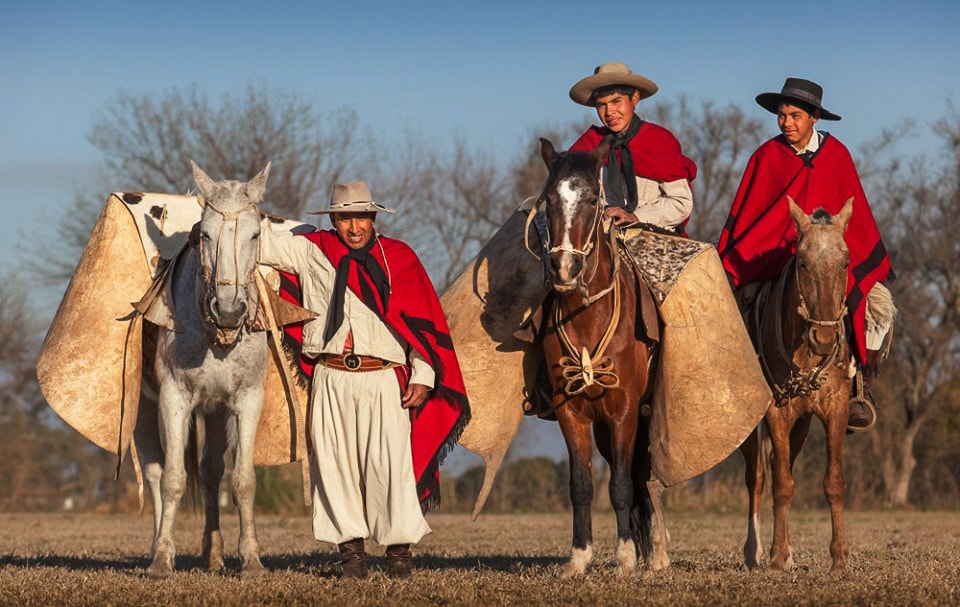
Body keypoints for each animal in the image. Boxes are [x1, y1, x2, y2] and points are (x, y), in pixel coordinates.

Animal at [134, 162, 270, 580]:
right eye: (204, 234)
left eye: (255, 233)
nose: (228, 310)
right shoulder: (174, 399)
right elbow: (173, 479)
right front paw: (162, 560)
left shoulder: (246, 400)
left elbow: (243, 481)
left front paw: (251, 560)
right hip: (145, 409)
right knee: (155, 472)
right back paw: (157, 548)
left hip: (214, 410)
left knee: (211, 471)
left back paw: (214, 553)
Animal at [532, 139, 668, 580]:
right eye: (548, 201)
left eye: (593, 199)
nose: (564, 267)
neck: (587, 318)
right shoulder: (571, 413)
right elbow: (582, 484)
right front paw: (579, 557)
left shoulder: (624, 411)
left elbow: (621, 486)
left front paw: (624, 558)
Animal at [740, 197, 852, 572]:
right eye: (802, 262)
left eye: (845, 262)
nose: (825, 337)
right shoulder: (776, 412)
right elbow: (781, 485)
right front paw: (775, 556)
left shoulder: (836, 409)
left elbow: (833, 482)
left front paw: (839, 556)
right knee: (758, 478)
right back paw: (754, 551)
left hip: (800, 425)